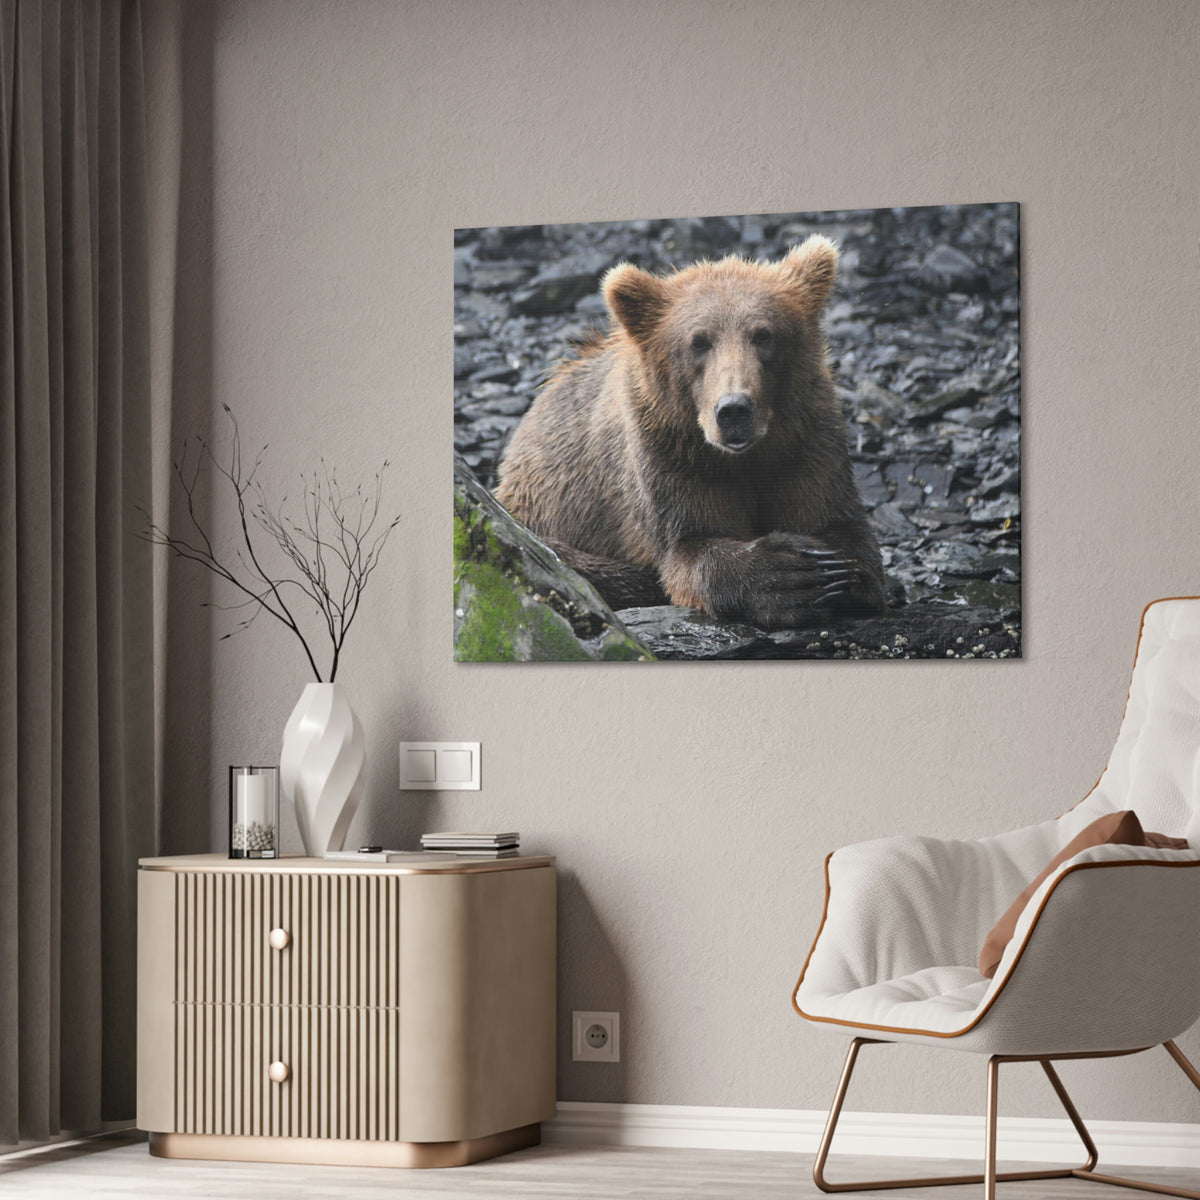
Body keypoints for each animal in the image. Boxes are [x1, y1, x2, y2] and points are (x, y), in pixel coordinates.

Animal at [494, 235, 886, 629]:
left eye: (764, 335)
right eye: (698, 341)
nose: (734, 410)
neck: (745, 457)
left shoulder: (805, 440)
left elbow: (837, 523)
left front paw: (834, 571)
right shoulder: (671, 456)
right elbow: (691, 547)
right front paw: (790, 574)